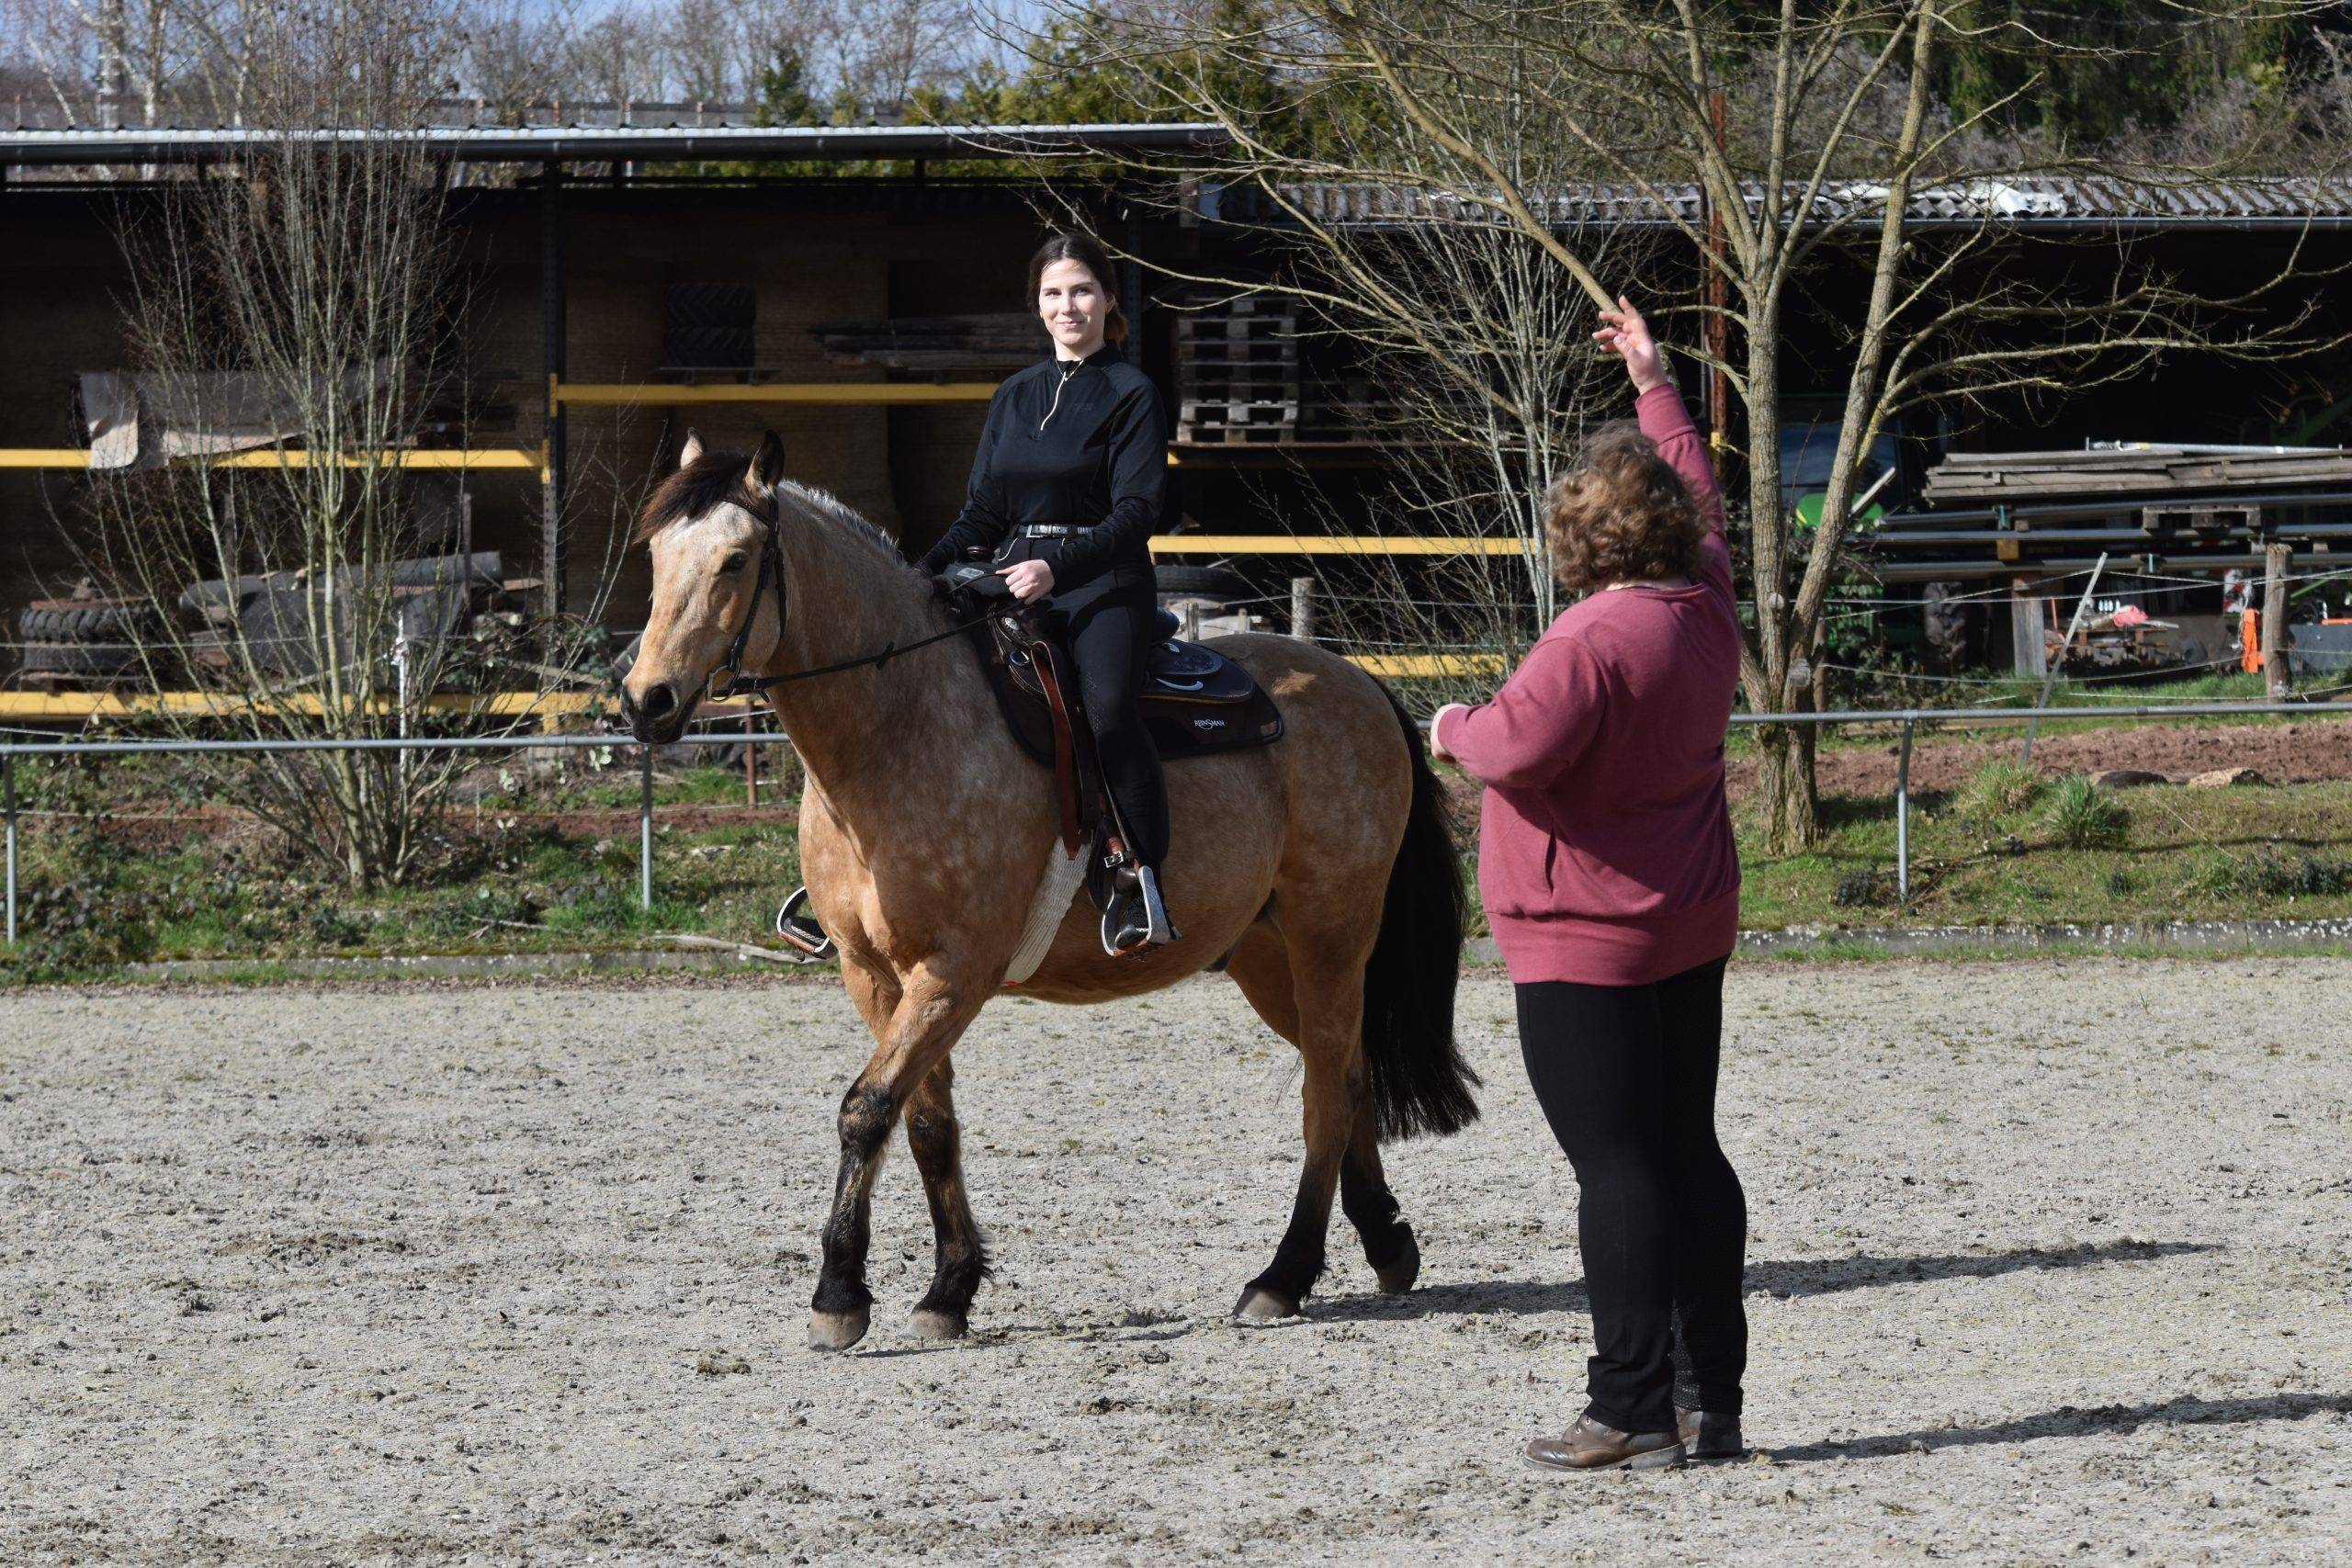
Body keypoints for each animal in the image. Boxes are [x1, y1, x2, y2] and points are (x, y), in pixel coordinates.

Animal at [616, 430, 1476, 1354]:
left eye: (736, 559)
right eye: (657, 556)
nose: (646, 699)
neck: (899, 725)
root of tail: (1363, 685)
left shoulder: (954, 973)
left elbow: (867, 1108)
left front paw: (839, 1293)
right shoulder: (874, 975)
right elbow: (926, 1122)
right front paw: (949, 1288)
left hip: (1331, 936)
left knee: (1325, 1092)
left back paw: (1282, 1276)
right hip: (1268, 956)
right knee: (1345, 1074)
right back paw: (1387, 1243)